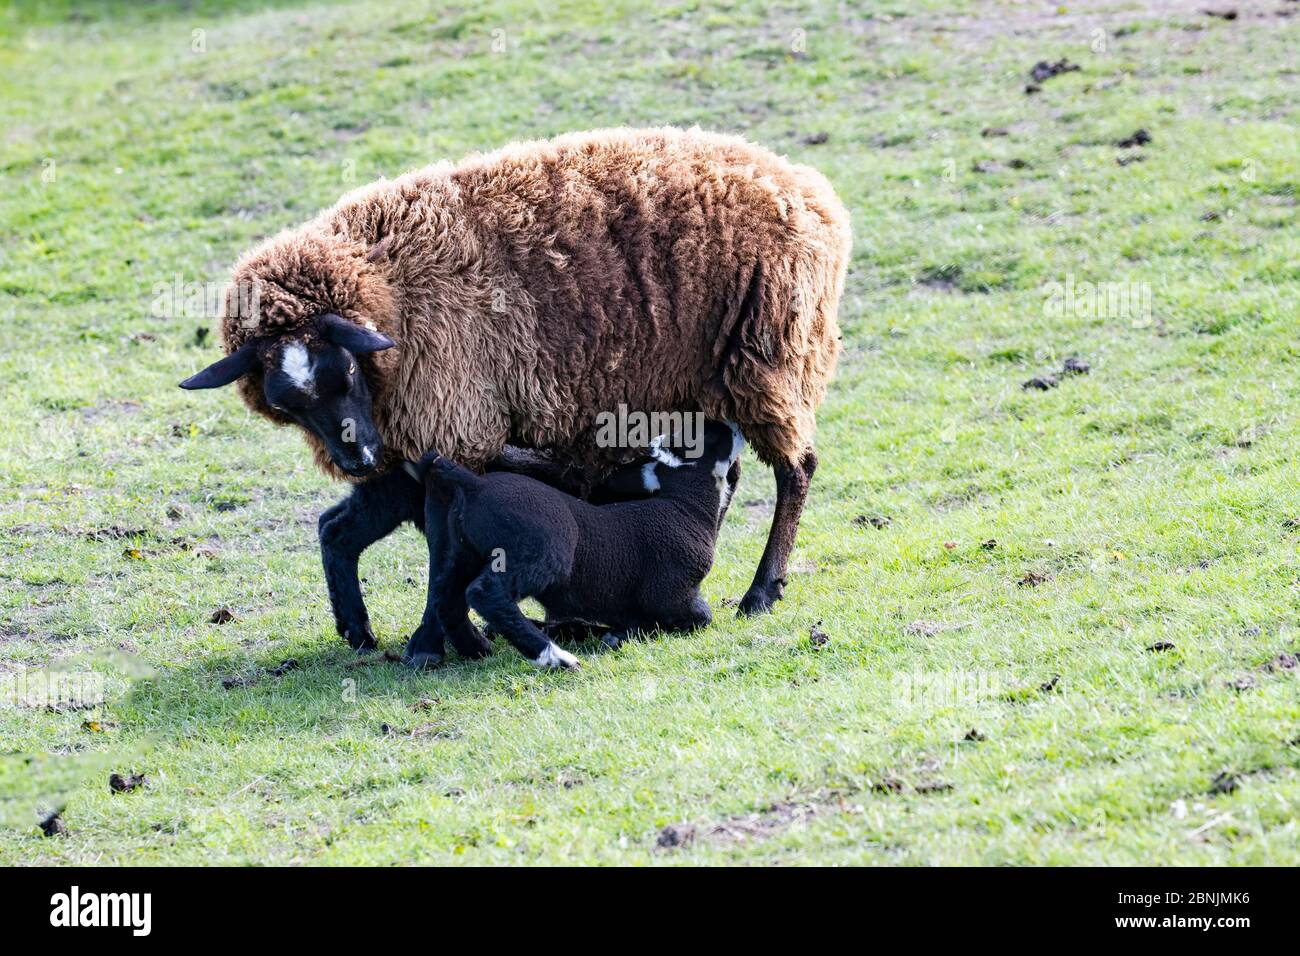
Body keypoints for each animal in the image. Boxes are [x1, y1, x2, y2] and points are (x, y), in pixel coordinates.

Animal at [185, 127, 852, 658]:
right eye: (284, 404)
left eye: (343, 372)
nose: (357, 458)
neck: (387, 285)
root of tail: (804, 185)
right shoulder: (425, 443)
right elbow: (438, 549)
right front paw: (447, 639)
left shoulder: (454, 430)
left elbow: (443, 557)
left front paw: (438, 641)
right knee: (337, 527)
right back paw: (360, 631)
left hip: (768, 359)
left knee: (796, 469)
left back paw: (761, 592)